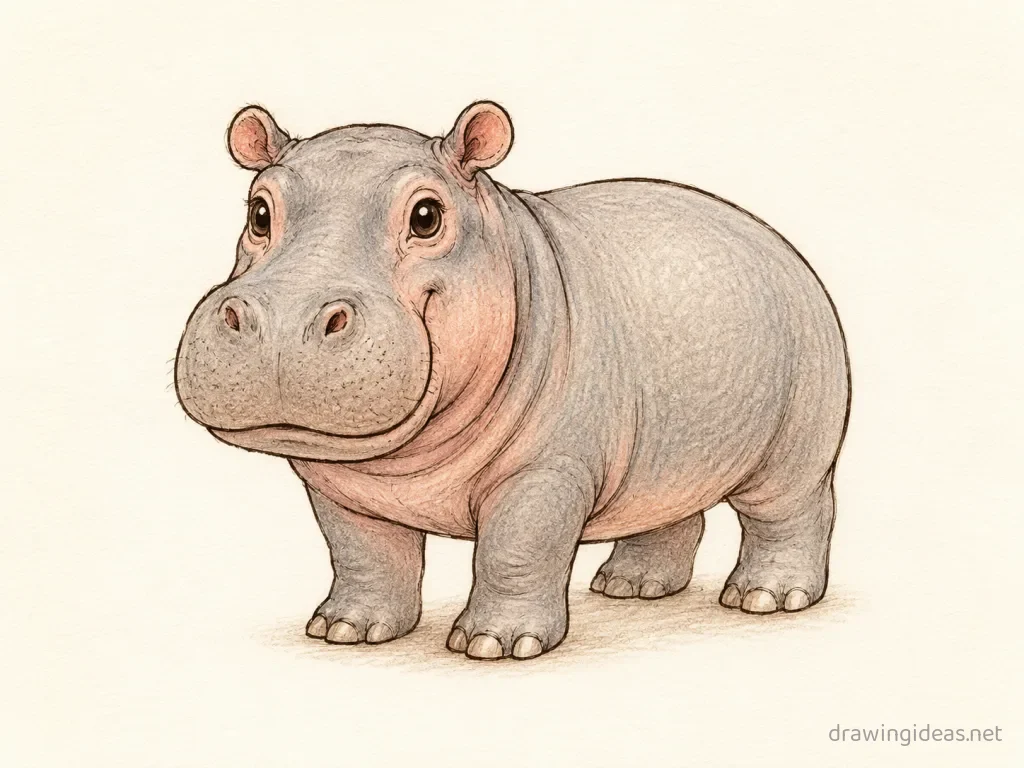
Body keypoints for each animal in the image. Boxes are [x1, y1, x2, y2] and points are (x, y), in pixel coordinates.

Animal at [175, 101, 850, 660]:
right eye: (259, 211)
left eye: (427, 214)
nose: (284, 317)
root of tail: (777, 239)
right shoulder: (341, 488)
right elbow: (364, 554)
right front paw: (344, 631)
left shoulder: (545, 470)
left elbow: (517, 549)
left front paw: (494, 646)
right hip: (669, 445)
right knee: (668, 508)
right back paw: (629, 587)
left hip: (800, 437)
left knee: (791, 512)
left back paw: (765, 599)